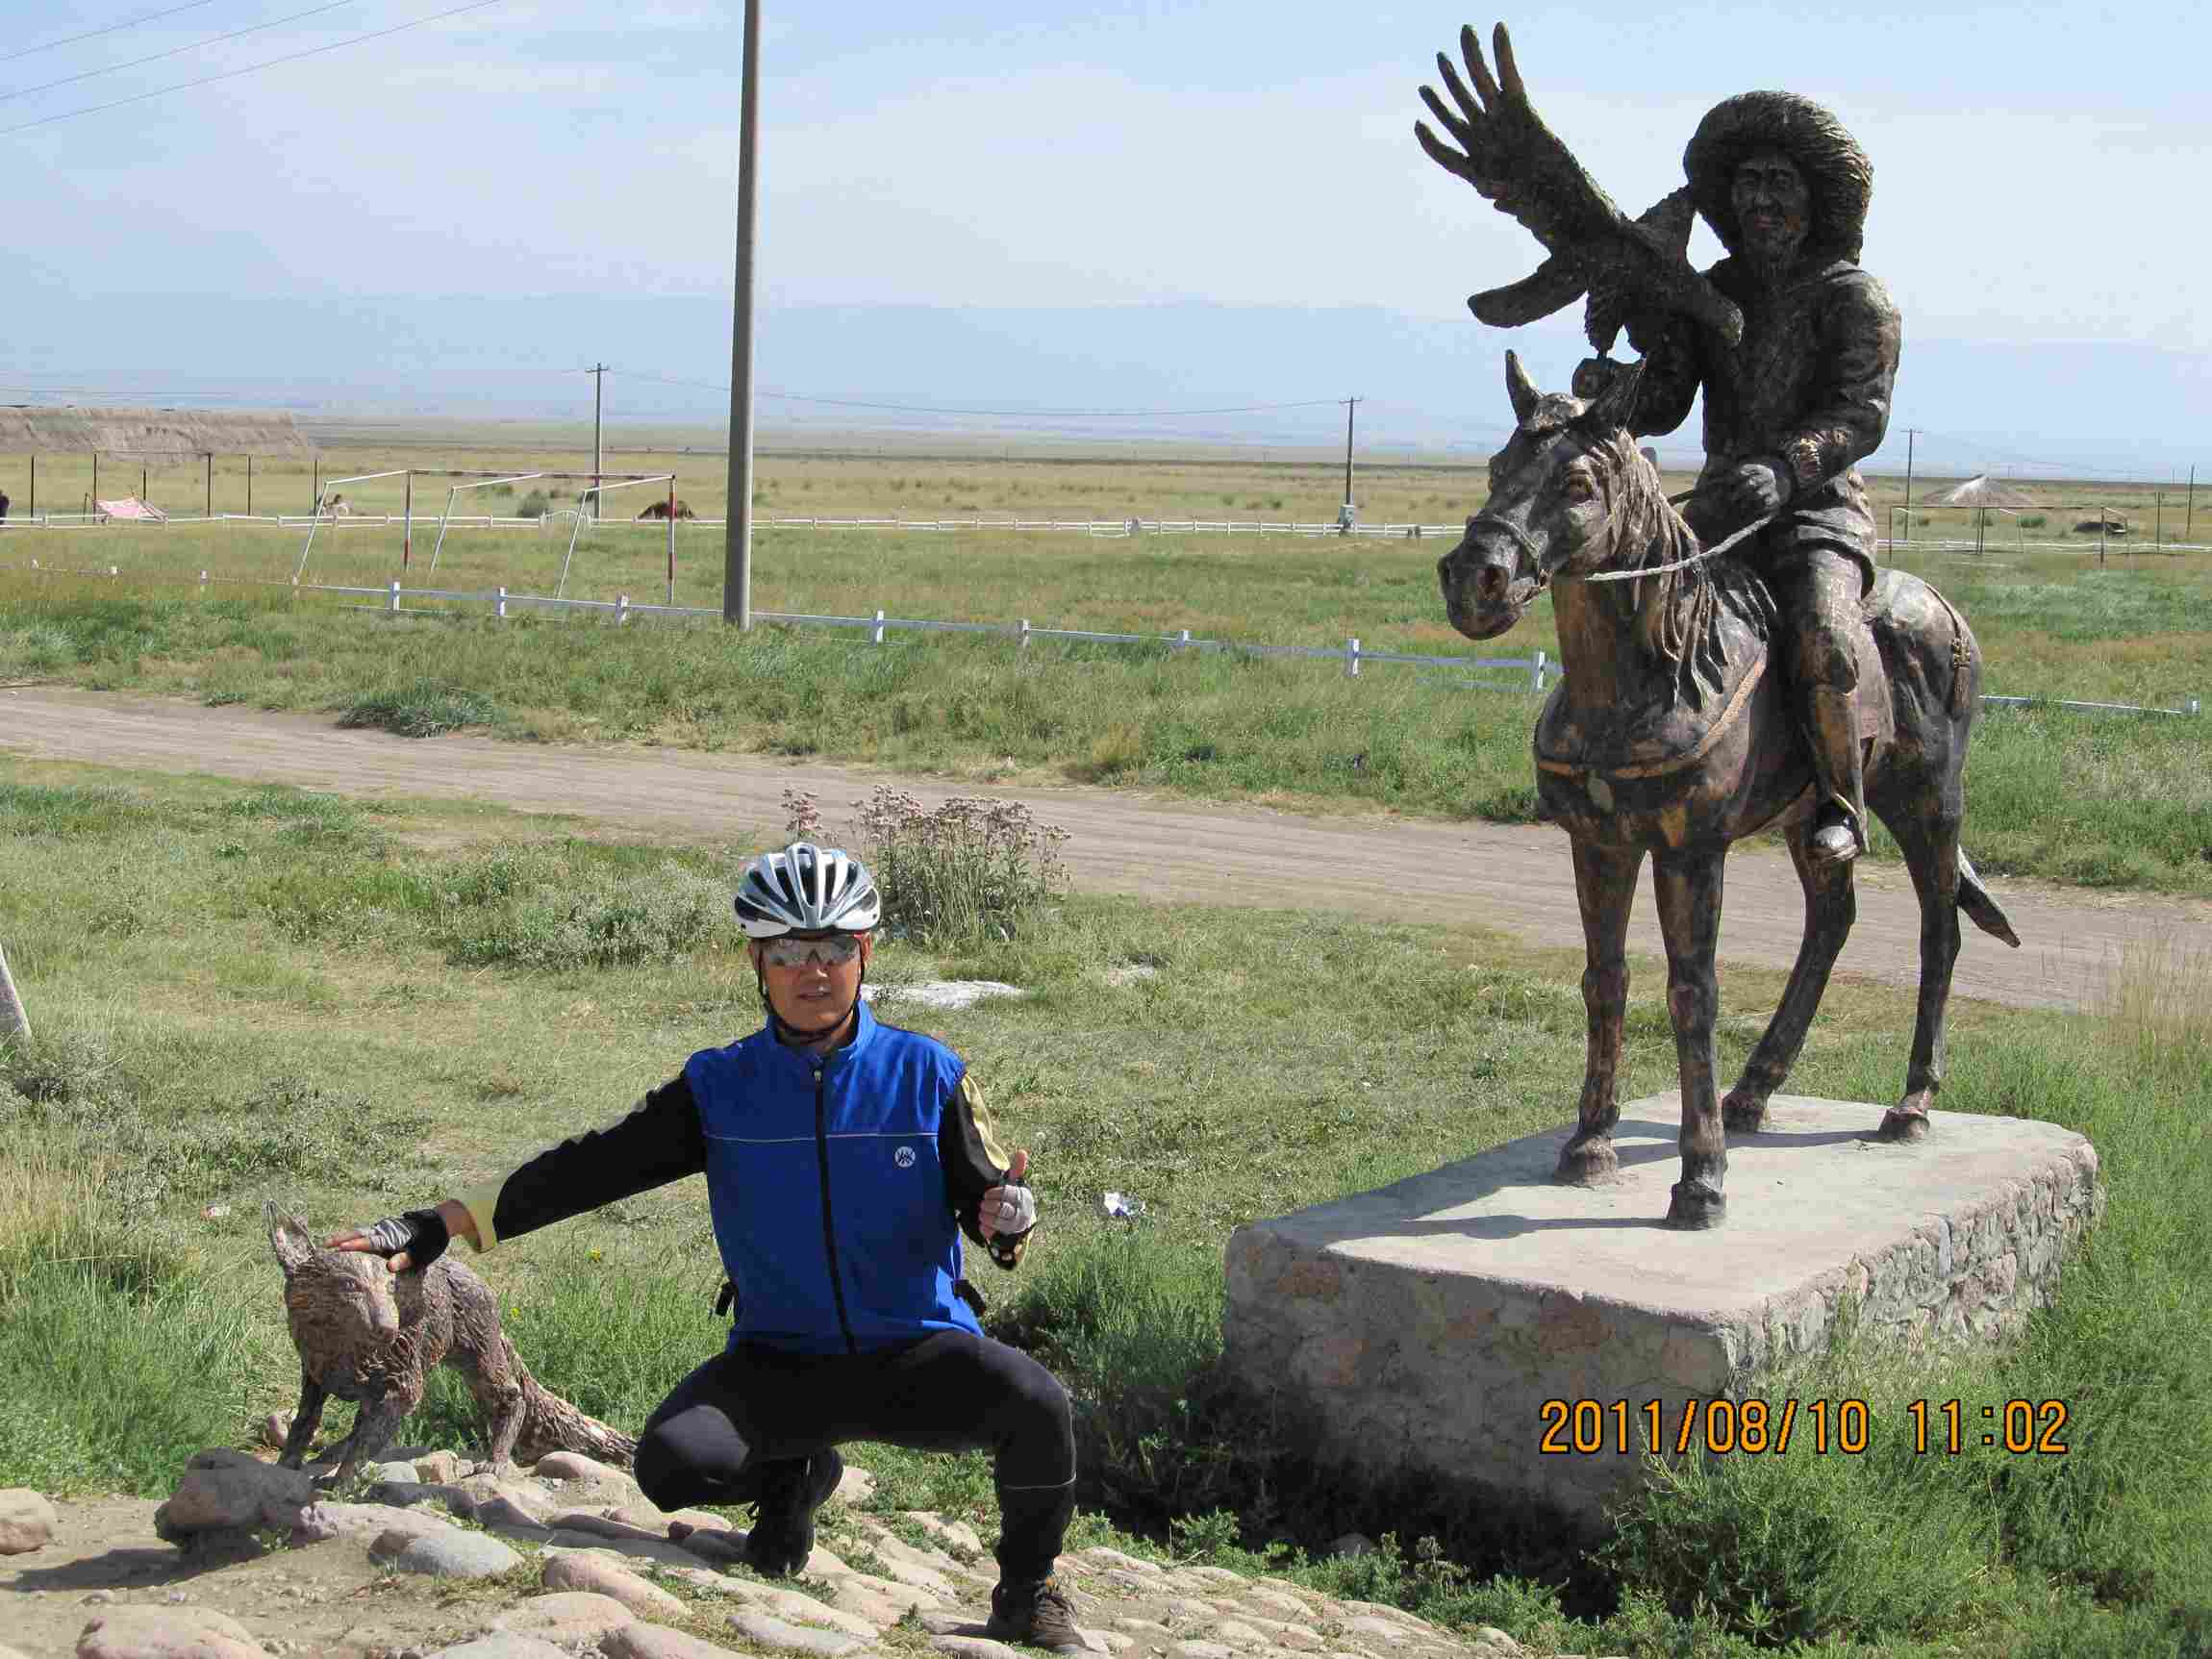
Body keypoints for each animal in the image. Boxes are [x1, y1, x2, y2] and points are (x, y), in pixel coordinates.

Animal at [1433, 354, 2025, 1239]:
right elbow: (1604, 980)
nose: (1476, 581)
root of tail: (1947, 611)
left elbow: (1693, 994)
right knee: (1831, 920)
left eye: (1576, 483)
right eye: (1498, 469)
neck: (1657, 673)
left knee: (1940, 928)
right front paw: (1589, 1144)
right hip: (1809, 818)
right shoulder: (1599, 844)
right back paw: (1754, 1088)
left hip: (1928, 800)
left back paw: (1912, 1102)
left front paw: (1702, 1180)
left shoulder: (1691, 851)